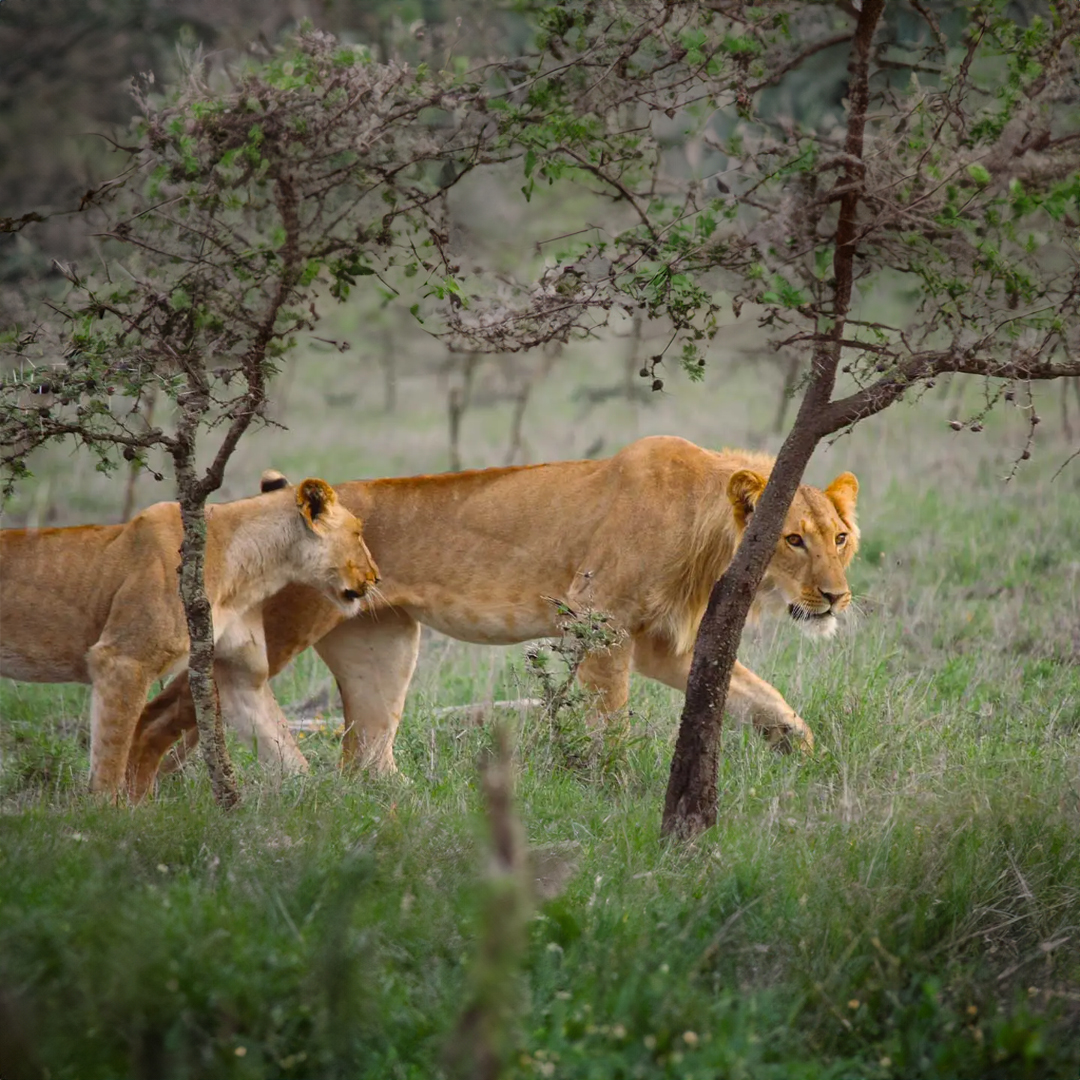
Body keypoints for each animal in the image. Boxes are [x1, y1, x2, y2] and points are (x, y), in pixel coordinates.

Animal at [0, 478, 379, 796]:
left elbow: (280, 744)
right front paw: (110, 824)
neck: (249, 567)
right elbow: (110, 757)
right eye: (358, 533)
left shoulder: (240, 671)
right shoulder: (122, 660)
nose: (376, 577)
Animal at [125, 436, 858, 798]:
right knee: (172, 708)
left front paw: (797, 743)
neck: (707, 530)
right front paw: (615, 788)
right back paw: (138, 801)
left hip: (382, 645)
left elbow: (753, 688)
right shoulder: (599, 620)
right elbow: (610, 720)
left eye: (841, 538)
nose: (835, 598)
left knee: (364, 754)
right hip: (282, 626)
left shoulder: (656, 641)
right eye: (793, 540)